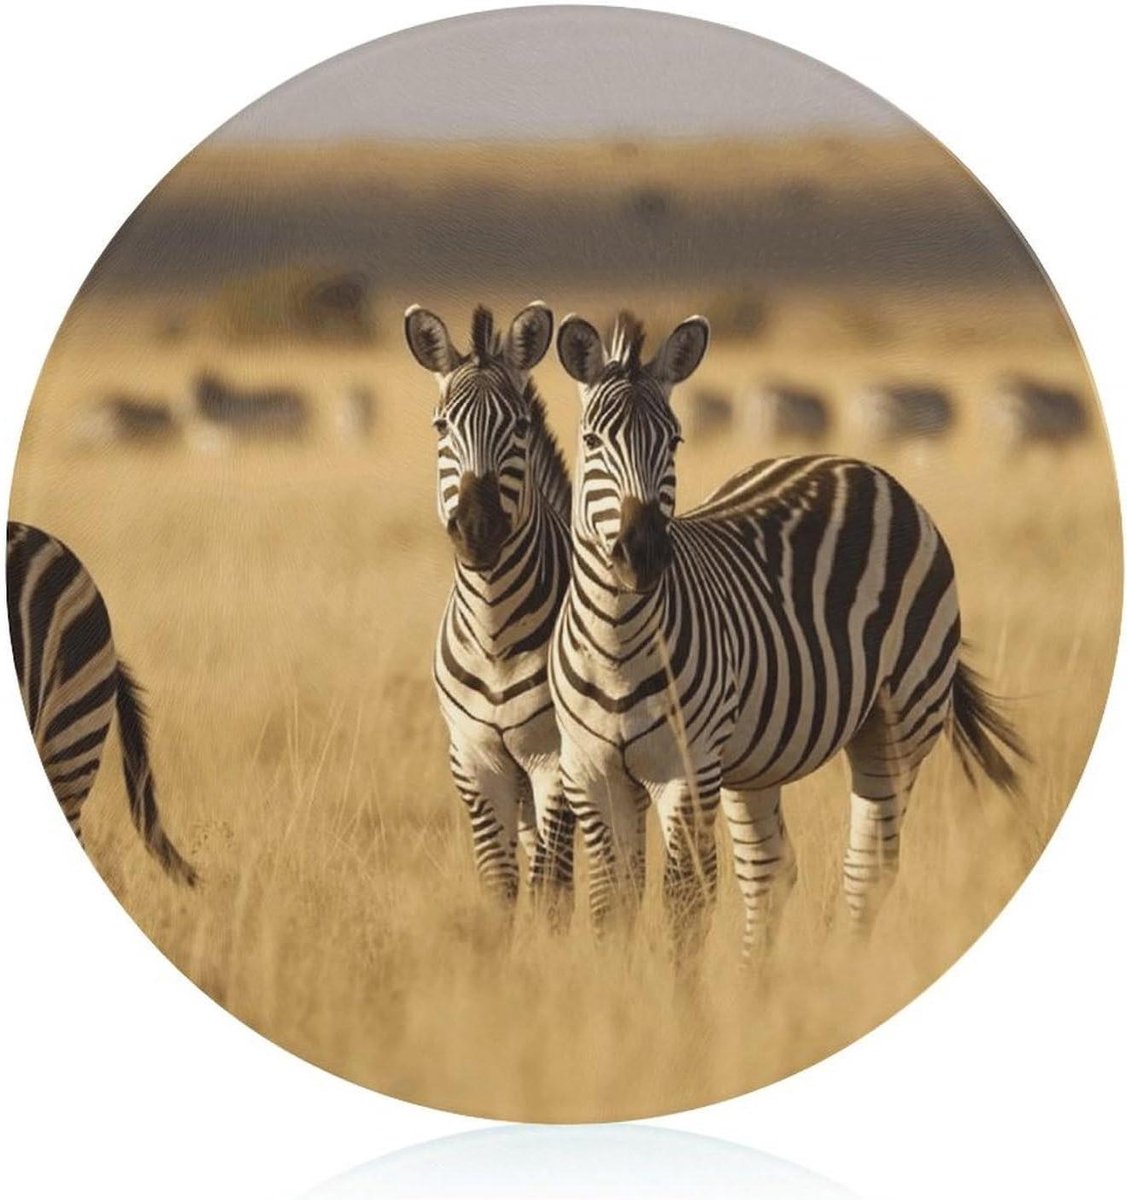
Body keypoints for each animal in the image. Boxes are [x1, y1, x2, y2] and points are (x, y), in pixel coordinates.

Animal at [404, 303, 575, 917]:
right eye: (441, 427)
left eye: (519, 427)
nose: (478, 532)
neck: (495, 628)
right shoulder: (476, 762)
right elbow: (501, 888)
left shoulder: (555, 760)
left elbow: (550, 889)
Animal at [551, 311, 1026, 959]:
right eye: (592, 443)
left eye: (673, 442)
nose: (641, 556)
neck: (617, 639)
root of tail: (852, 464)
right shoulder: (591, 774)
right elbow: (610, 908)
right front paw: (612, 983)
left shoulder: (687, 772)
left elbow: (684, 905)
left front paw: (677, 989)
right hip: (752, 761)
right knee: (770, 875)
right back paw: (760, 979)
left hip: (899, 724)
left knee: (868, 870)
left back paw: (844, 970)